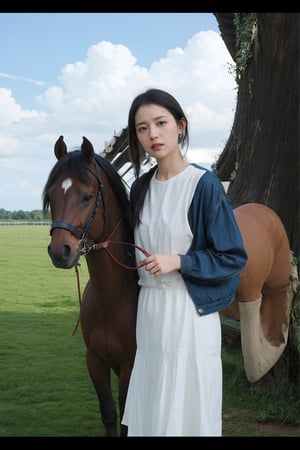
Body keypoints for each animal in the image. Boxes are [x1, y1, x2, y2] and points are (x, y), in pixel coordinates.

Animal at [42, 136, 139, 436]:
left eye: (87, 196)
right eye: (51, 196)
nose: (59, 251)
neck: (114, 299)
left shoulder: (131, 365)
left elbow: (126, 422)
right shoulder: (95, 361)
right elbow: (109, 414)